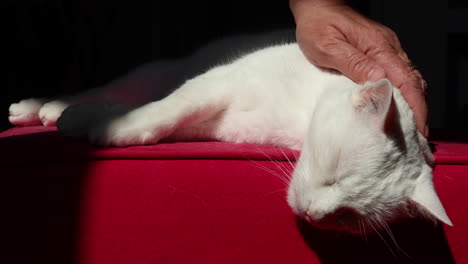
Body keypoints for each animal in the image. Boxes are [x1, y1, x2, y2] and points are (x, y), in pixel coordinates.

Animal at [9, 37, 452, 233]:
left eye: (346, 215)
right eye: (333, 174)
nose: (313, 215)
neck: (299, 111)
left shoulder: (217, 122)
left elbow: (165, 117)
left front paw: (107, 124)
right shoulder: (218, 82)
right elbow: (166, 108)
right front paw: (109, 127)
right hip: (158, 71)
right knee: (114, 90)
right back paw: (42, 107)